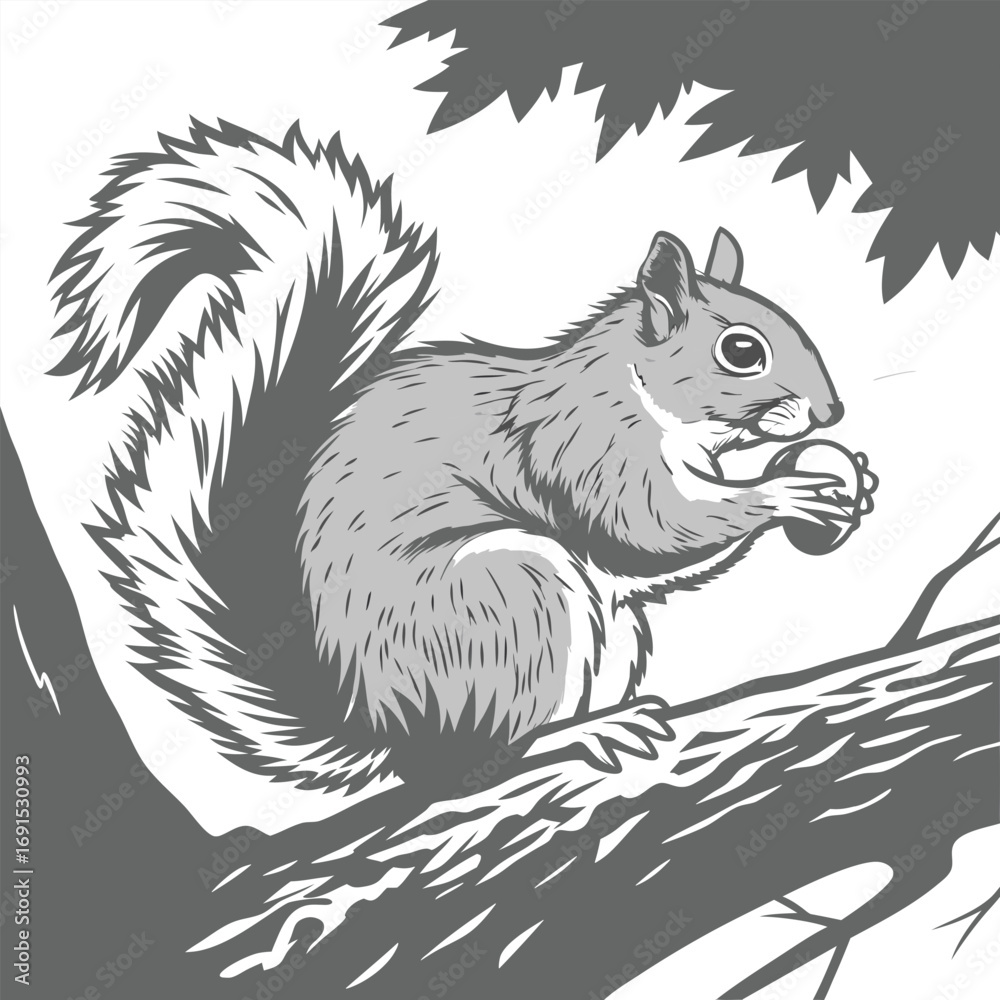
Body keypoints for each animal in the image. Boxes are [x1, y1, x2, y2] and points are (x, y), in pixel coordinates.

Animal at [49, 120, 874, 807]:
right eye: (742, 349)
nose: (833, 413)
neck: (642, 393)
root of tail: (386, 729)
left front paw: (854, 477)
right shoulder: (583, 445)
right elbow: (652, 530)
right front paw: (792, 489)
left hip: (603, 630)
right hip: (513, 593)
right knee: (477, 765)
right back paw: (574, 734)